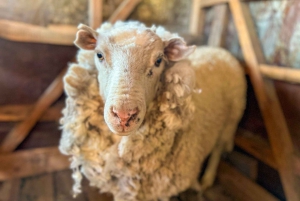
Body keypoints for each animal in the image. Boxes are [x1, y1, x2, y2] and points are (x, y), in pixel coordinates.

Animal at [59, 20, 246, 201]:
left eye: (158, 61)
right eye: (99, 55)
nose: (124, 115)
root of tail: (220, 49)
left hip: (230, 121)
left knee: (217, 150)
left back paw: (207, 179)